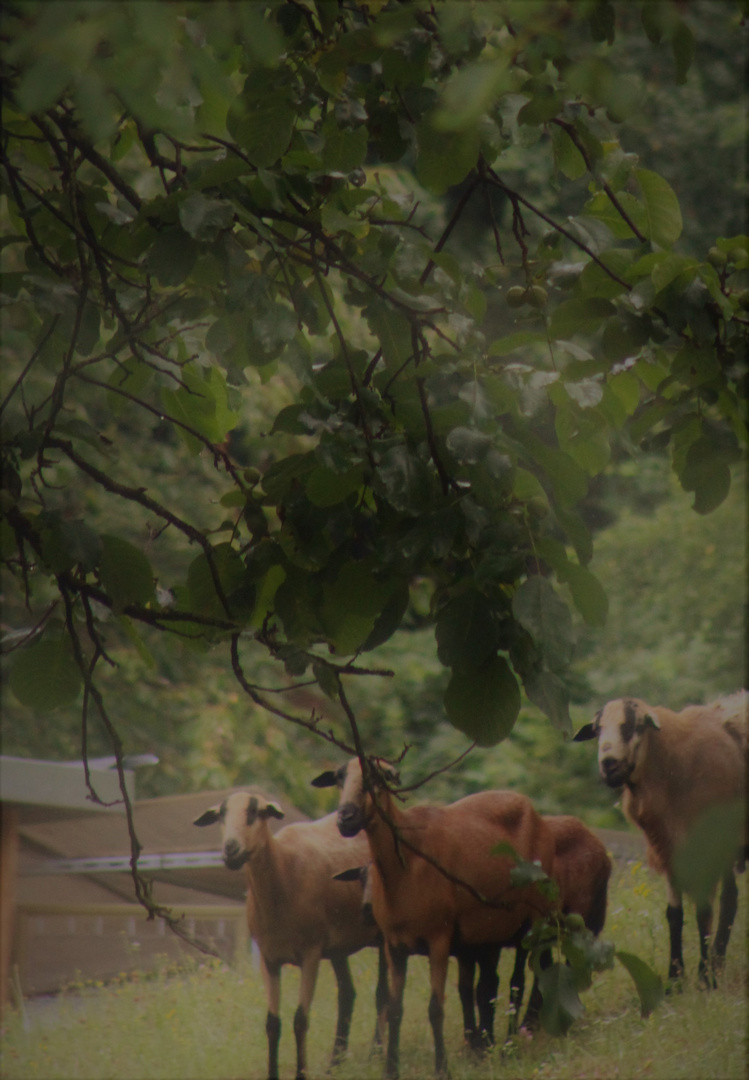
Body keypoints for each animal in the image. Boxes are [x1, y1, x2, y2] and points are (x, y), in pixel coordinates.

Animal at [193, 790, 390, 1080]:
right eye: (220, 815)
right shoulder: (268, 958)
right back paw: (335, 1062)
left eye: (255, 812)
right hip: (338, 946)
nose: (230, 850)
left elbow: (300, 1019)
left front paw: (301, 1073)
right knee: (347, 993)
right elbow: (272, 1023)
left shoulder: (310, 953)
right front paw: (272, 1074)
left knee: (382, 993)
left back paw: (376, 1054)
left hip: (383, 933)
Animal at [312, 760, 556, 1080]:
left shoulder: (438, 939)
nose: (345, 818)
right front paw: (391, 1069)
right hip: (495, 930)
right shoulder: (394, 945)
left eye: (374, 777)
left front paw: (442, 1068)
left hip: (535, 916)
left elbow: (435, 1008)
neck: (405, 865)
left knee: (524, 978)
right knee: (496, 983)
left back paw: (511, 1045)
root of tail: (533, 809)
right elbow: (395, 1008)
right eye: (339, 778)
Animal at [574, 691, 746, 989]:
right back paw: (718, 963)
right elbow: (674, 915)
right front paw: (675, 979)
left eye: (634, 726)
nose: (608, 764)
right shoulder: (670, 852)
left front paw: (704, 978)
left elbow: (703, 911)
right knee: (730, 899)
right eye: (597, 730)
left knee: (728, 899)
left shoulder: (707, 850)